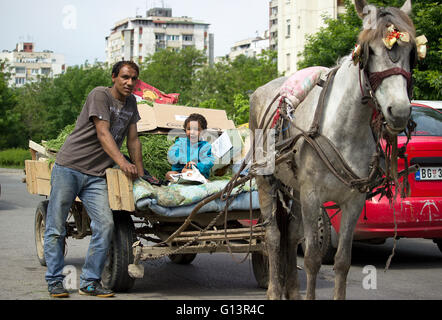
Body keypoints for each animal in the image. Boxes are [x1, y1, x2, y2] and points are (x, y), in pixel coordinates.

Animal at [250, 0, 416, 300]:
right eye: (370, 51)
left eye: (412, 53)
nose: (398, 112)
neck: (345, 127)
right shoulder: (313, 195)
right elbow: (313, 259)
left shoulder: (353, 201)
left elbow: (342, 262)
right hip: (267, 179)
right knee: (274, 237)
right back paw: (274, 290)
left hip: (295, 188)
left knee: (291, 236)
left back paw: (292, 291)